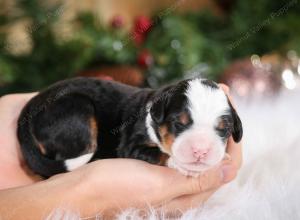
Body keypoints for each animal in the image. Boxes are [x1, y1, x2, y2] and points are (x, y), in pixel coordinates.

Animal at [17, 77, 241, 177]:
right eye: (179, 124)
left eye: (223, 129)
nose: (201, 151)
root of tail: (29, 109)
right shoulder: (131, 145)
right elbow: (160, 154)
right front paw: (179, 164)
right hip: (78, 108)